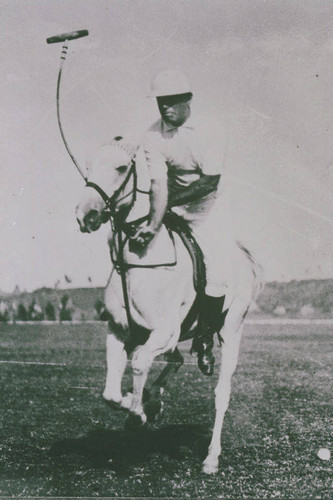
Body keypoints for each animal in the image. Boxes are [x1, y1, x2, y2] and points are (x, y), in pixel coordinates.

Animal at [76, 139, 262, 474]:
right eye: (88, 165)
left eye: (121, 167)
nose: (86, 215)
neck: (139, 259)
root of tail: (243, 257)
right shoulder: (119, 330)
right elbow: (110, 392)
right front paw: (138, 403)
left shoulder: (165, 331)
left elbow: (138, 364)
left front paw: (136, 413)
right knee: (175, 360)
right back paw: (157, 396)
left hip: (231, 330)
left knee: (221, 393)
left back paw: (211, 457)